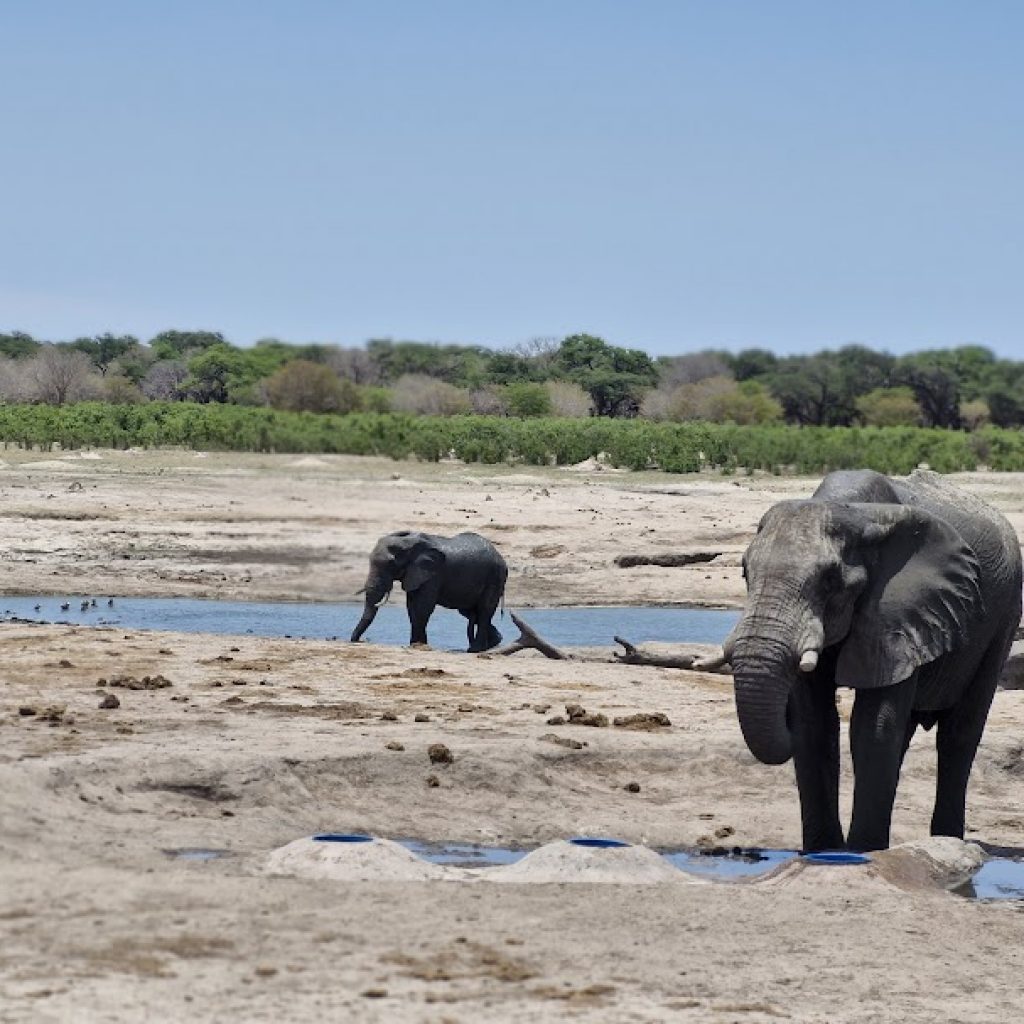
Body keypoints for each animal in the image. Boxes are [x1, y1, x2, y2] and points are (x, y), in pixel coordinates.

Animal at [349, 530, 508, 652]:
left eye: (391, 564)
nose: (361, 641)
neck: (408, 544)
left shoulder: (433, 574)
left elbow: (423, 607)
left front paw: (418, 645)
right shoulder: (415, 574)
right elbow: (411, 607)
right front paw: (416, 645)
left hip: (495, 578)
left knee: (484, 610)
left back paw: (476, 649)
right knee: (469, 612)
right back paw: (492, 643)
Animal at [723, 468, 1022, 853]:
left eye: (830, 581)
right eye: (745, 572)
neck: (848, 510)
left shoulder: (897, 611)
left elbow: (872, 726)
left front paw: (861, 851)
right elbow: (815, 724)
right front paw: (824, 851)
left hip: (1004, 615)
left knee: (959, 734)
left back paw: (946, 840)